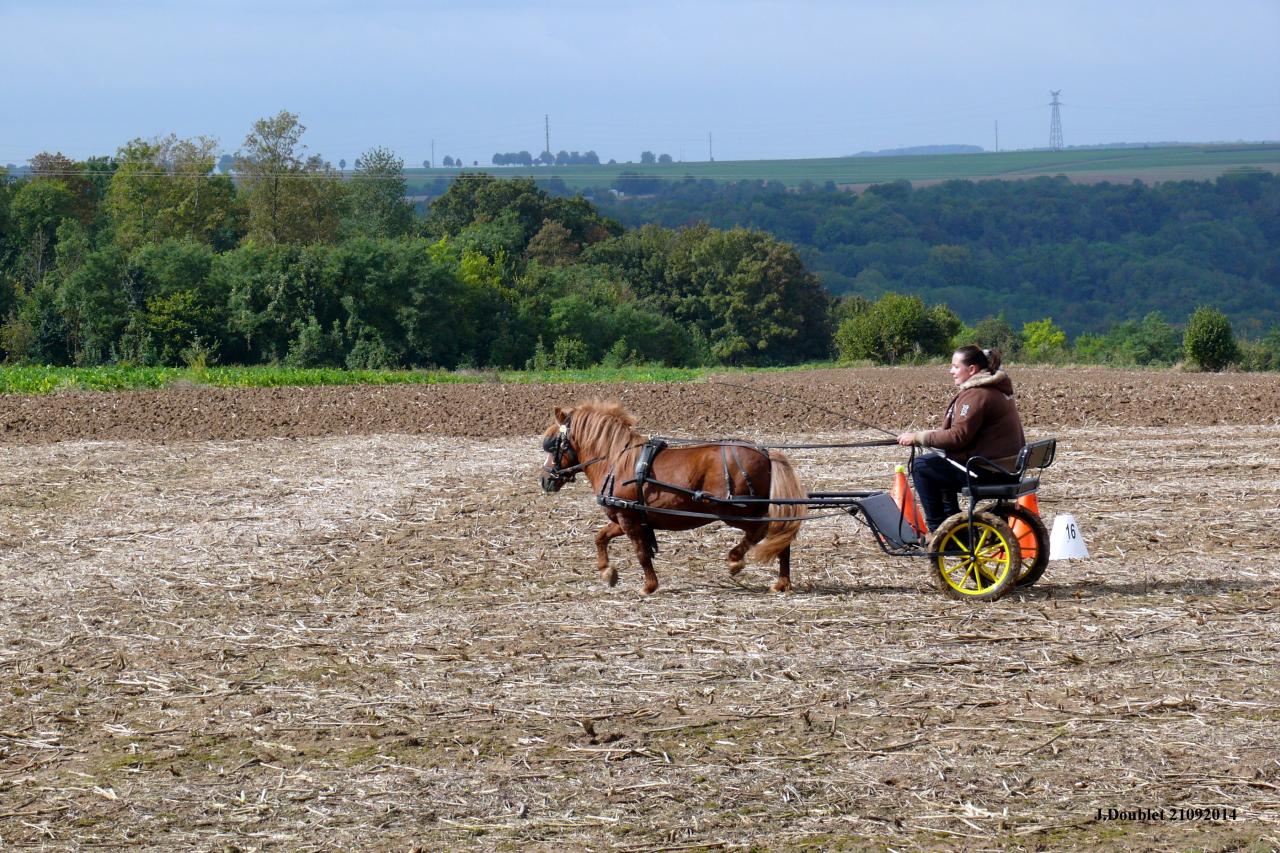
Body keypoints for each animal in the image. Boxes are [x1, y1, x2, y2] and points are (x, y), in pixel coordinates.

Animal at [539, 400, 807, 594]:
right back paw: (781, 583)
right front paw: (607, 572)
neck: (615, 461)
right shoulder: (624, 517)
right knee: (780, 538)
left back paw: (735, 560)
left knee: (761, 532)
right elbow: (601, 537)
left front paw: (648, 586)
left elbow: (641, 553)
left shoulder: (628, 518)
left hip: (733, 510)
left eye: (553, 445)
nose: (544, 480)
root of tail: (766, 453)